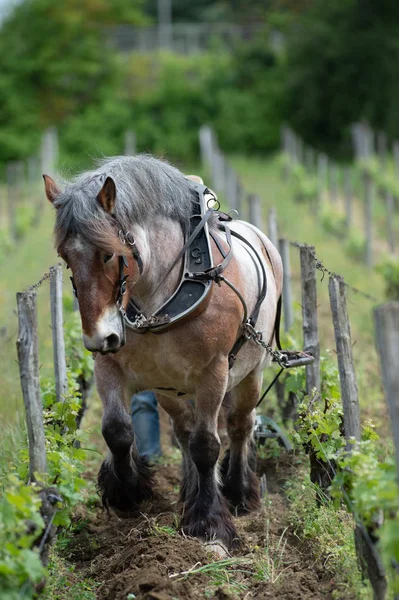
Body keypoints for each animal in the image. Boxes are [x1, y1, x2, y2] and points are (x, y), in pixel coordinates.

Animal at [45, 156, 282, 548]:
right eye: (66, 257)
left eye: (109, 254)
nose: (98, 338)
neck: (162, 294)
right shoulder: (111, 366)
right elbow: (117, 430)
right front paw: (128, 491)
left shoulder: (214, 372)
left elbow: (207, 445)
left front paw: (209, 522)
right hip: (169, 388)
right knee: (183, 431)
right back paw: (190, 490)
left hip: (251, 372)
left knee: (239, 425)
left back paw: (237, 491)